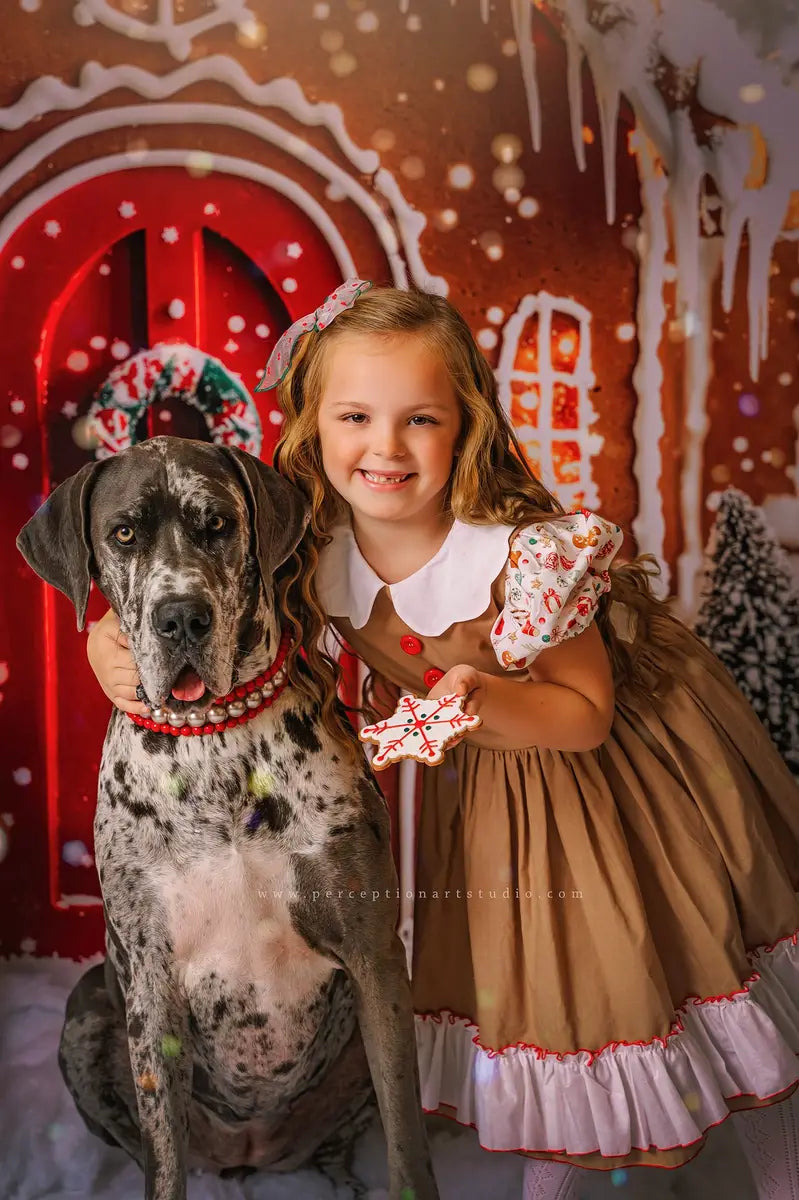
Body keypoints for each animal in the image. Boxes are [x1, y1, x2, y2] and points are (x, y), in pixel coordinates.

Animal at [18, 434, 439, 1200]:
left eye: (216, 523)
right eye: (123, 533)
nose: (181, 617)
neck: (214, 747)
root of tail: (254, 1150)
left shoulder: (375, 961)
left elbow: (406, 1142)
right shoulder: (150, 983)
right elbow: (162, 1159)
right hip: (87, 1012)